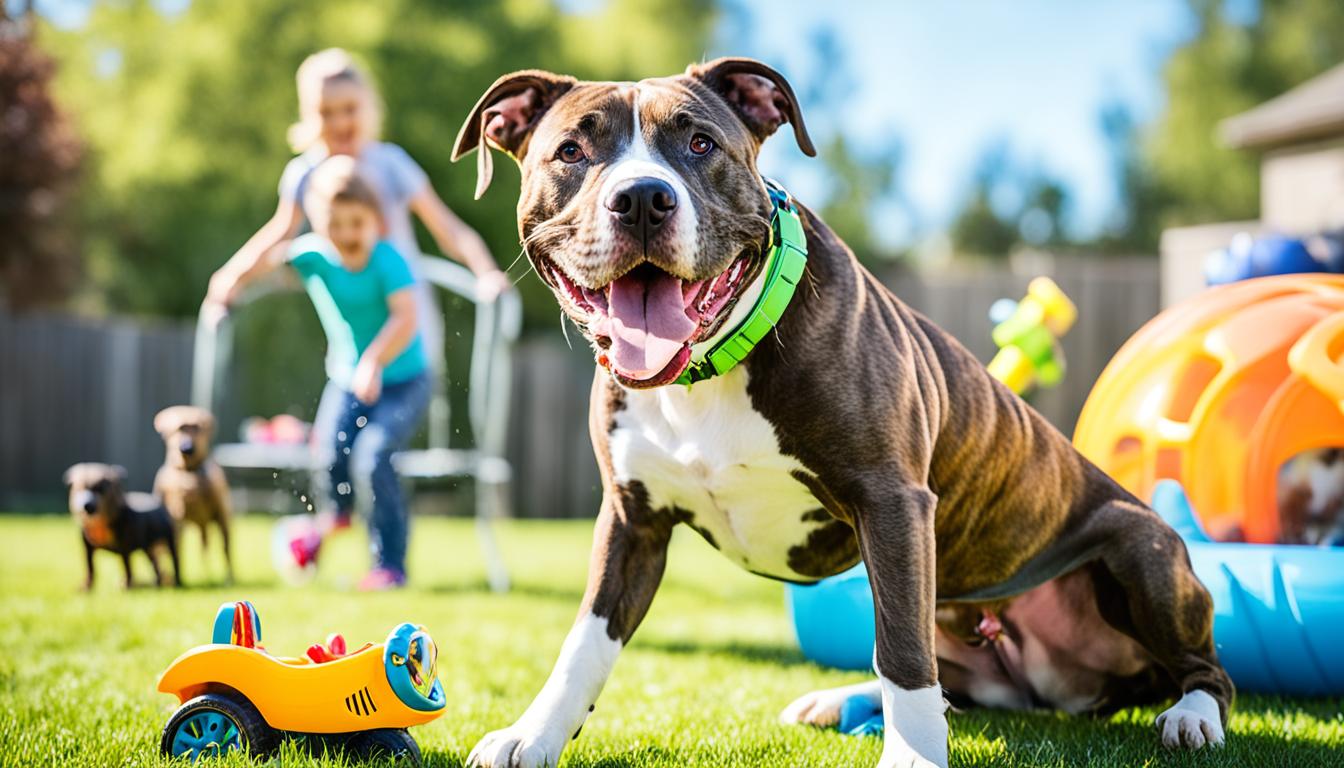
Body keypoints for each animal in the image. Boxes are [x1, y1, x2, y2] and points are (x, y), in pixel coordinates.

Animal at [153, 408, 235, 583]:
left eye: (197, 427)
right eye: (178, 429)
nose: (187, 448)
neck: (188, 472)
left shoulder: (218, 511)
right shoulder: (175, 517)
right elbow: (175, 553)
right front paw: (176, 579)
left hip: (222, 520)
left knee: (224, 549)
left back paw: (226, 578)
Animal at [456, 57, 1231, 763]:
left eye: (700, 143)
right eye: (571, 152)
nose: (643, 198)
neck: (706, 370)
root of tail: (1057, 689)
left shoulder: (891, 503)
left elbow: (903, 653)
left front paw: (914, 759)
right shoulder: (631, 521)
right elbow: (585, 640)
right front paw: (534, 735)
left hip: (1141, 552)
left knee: (1204, 670)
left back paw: (1191, 717)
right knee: (952, 684)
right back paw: (841, 700)